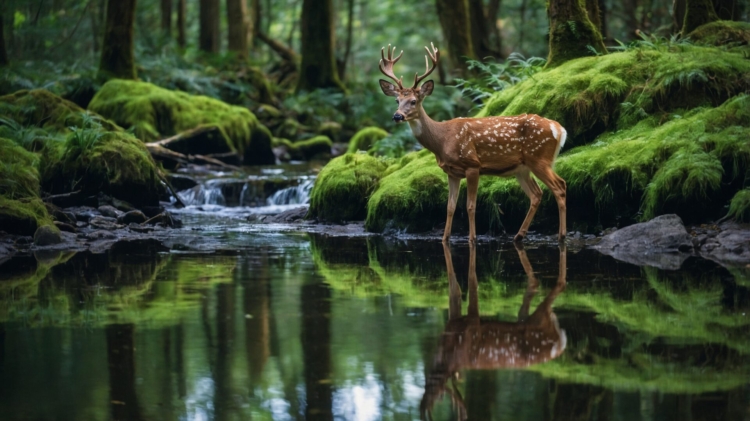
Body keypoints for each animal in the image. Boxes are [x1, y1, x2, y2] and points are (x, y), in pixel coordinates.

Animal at [378, 44, 568, 244]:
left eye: (413, 101)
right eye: (397, 100)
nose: (397, 116)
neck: (442, 141)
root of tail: (559, 129)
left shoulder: (472, 165)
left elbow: (470, 206)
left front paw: (472, 238)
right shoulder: (451, 172)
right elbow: (450, 207)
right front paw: (445, 239)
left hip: (539, 158)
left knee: (560, 186)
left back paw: (561, 236)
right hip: (522, 168)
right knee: (537, 194)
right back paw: (519, 235)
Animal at [420, 242, 568, 420]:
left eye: (440, 394)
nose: (424, 400)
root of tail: (560, 344)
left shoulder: (472, 323)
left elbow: (471, 282)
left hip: (539, 320)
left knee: (556, 286)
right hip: (539, 317)